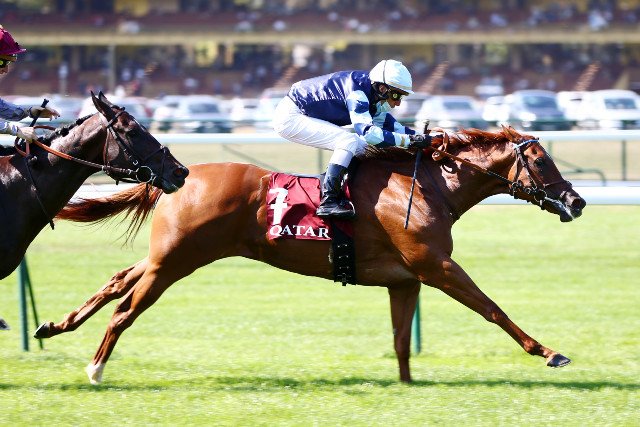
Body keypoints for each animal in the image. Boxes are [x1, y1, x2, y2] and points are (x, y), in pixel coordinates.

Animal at [34, 126, 586, 385]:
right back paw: (95, 368)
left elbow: (401, 340)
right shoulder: (437, 267)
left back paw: (54, 326)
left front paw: (408, 385)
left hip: (167, 257)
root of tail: (176, 176)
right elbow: (493, 309)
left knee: (117, 279)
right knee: (126, 309)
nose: (577, 201)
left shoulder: (405, 279)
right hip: (175, 261)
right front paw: (548, 351)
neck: (429, 184)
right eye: (541, 161)